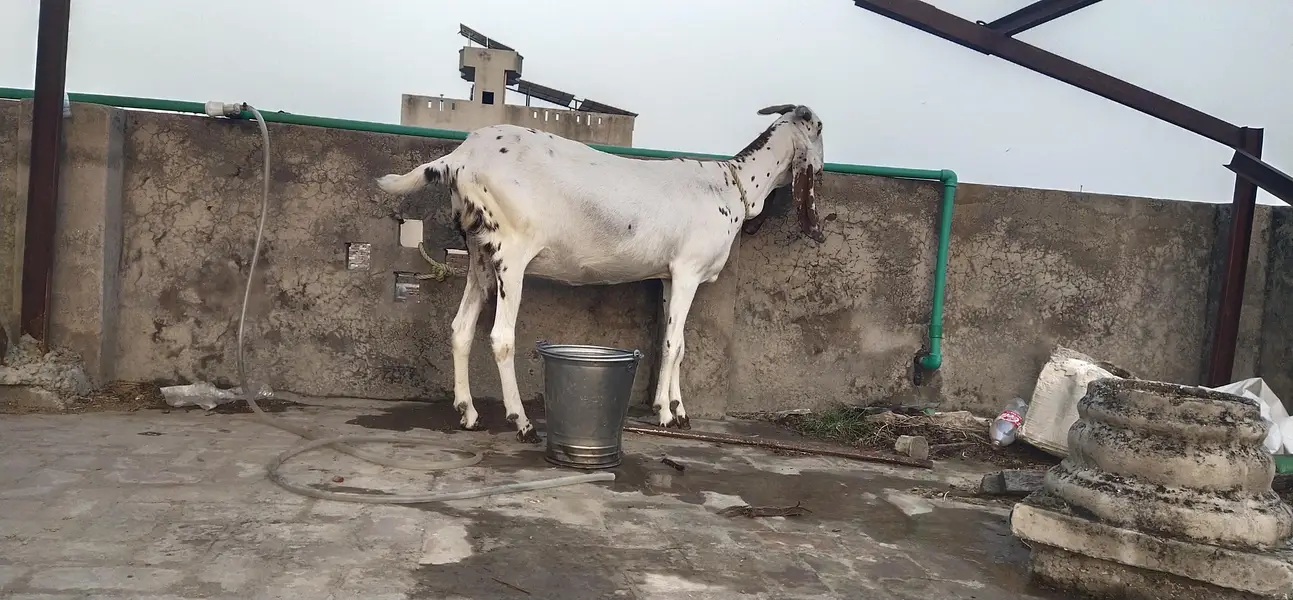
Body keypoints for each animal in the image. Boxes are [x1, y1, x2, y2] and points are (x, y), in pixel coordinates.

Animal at [376, 104, 826, 442]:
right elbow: (673, 345)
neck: (731, 185)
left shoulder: (670, 276)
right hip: (511, 252)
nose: (820, 167)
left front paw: (675, 409)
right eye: (819, 128)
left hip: (479, 254)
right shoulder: (686, 271)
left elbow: (676, 343)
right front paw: (666, 416)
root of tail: (460, 157)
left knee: (461, 328)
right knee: (501, 337)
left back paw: (468, 413)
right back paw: (522, 423)